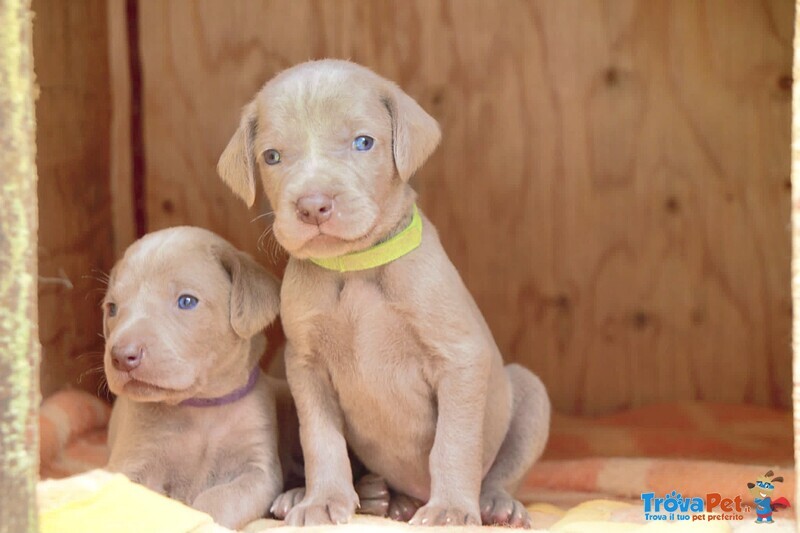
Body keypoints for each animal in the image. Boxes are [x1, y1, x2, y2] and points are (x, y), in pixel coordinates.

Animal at [101, 225, 288, 528]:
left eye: (187, 301)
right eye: (113, 308)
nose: (121, 356)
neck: (200, 408)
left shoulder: (259, 471)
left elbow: (220, 498)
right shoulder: (131, 462)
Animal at [216, 60, 552, 524]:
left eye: (363, 142)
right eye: (272, 156)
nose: (313, 206)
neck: (356, 267)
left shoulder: (460, 358)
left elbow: (454, 443)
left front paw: (450, 509)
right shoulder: (305, 368)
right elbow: (321, 440)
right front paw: (321, 501)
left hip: (529, 392)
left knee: (500, 471)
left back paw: (494, 504)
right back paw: (355, 496)